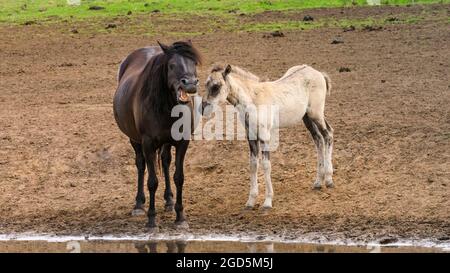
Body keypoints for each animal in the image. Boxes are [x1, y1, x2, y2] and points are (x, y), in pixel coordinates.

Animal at [113, 40, 201, 227]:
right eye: (172, 65)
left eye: (194, 63)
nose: (190, 83)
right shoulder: (148, 144)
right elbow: (152, 181)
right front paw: (151, 220)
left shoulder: (182, 142)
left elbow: (179, 177)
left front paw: (180, 217)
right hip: (135, 140)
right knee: (141, 165)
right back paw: (139, 204)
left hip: (166, 142)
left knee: (166, 162)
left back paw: (169, 201)